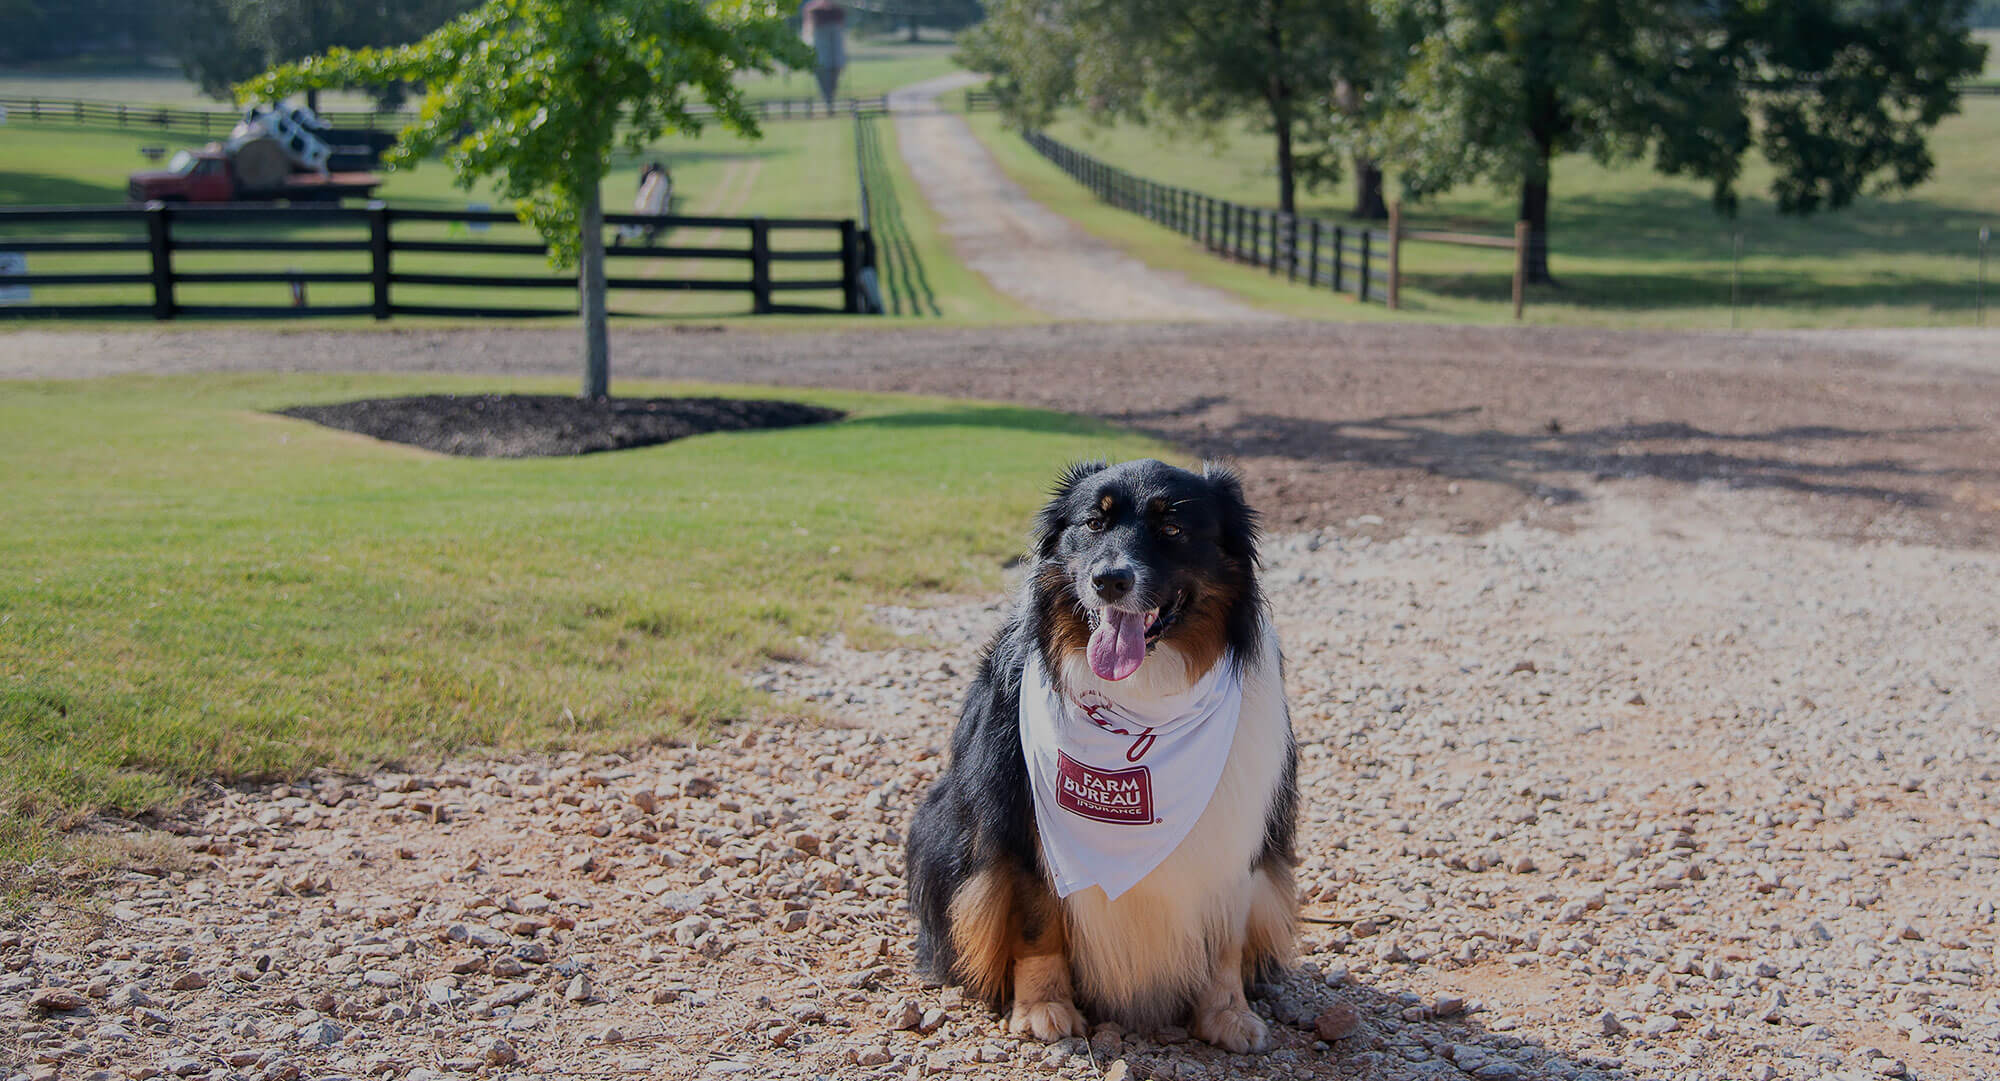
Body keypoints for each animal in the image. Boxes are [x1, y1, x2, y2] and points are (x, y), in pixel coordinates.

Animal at [908, 458, 1296, 1056]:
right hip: (938, 829)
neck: (1142, 698)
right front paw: (1043, 1007)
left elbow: (1226, 934)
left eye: (1173, 529)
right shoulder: (1020, 820)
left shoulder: (1236, 826)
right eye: (1093, 523)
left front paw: (1228, 1013)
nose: (1109, 580)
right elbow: (1036, 920)